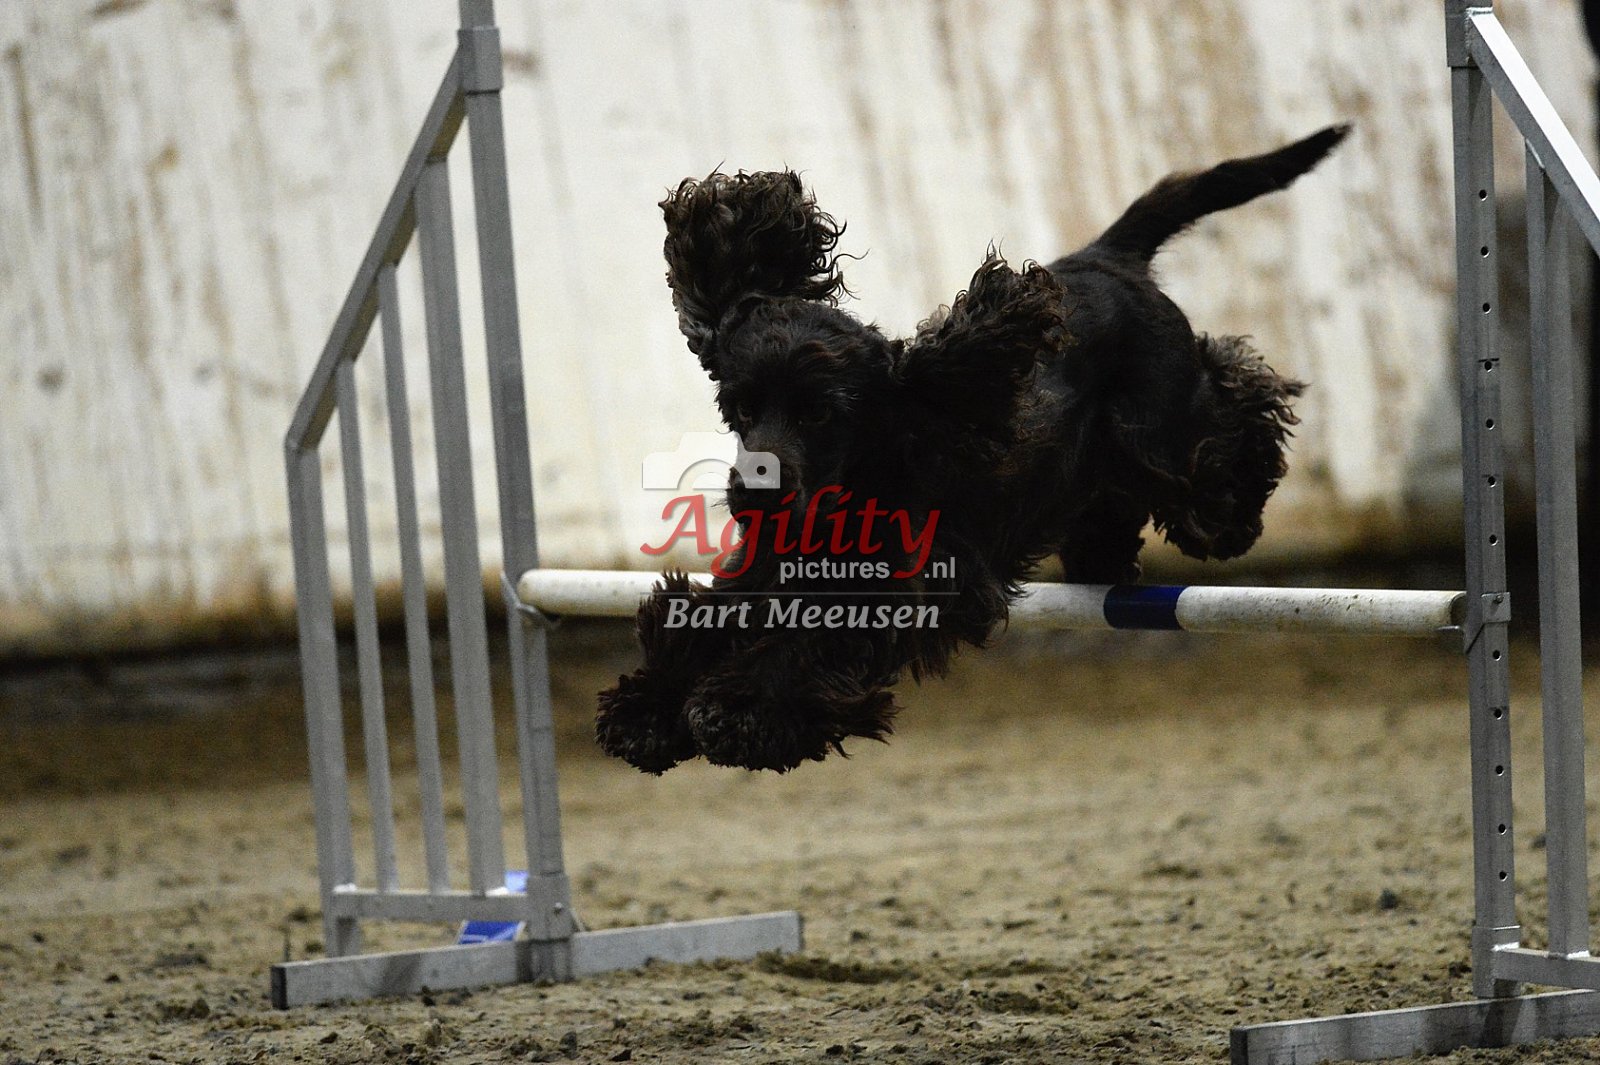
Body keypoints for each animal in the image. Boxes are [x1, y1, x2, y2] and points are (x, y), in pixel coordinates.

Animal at [597, 125, 1347, 774]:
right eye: (742, 410)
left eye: (820, 412)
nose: (754, 491)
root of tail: (1102, 257)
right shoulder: (762, 570)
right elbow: (702, 620)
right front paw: (647, 710)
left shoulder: (900, 589)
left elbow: (803, 644)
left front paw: (739, 709)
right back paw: (1101, 556)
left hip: (1165, 432)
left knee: (1233, 411)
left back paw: (1239, 509)